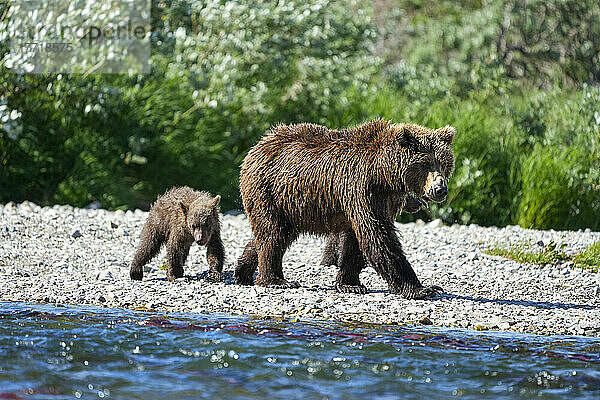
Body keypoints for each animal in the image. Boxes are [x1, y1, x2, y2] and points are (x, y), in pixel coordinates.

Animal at [234, 120, 454, 298]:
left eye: (444, 164)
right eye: (425, 163)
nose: (441, 189)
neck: (385, 176)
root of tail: (257, 146)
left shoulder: (383, 199)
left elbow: (356, 241)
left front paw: (349, 284)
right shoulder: (361, 188)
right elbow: (378, 236)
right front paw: (423, 288)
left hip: (290, 206)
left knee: (275, 234)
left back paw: (242, 271)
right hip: (267, 190)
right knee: (273, 234)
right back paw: (275, 280)